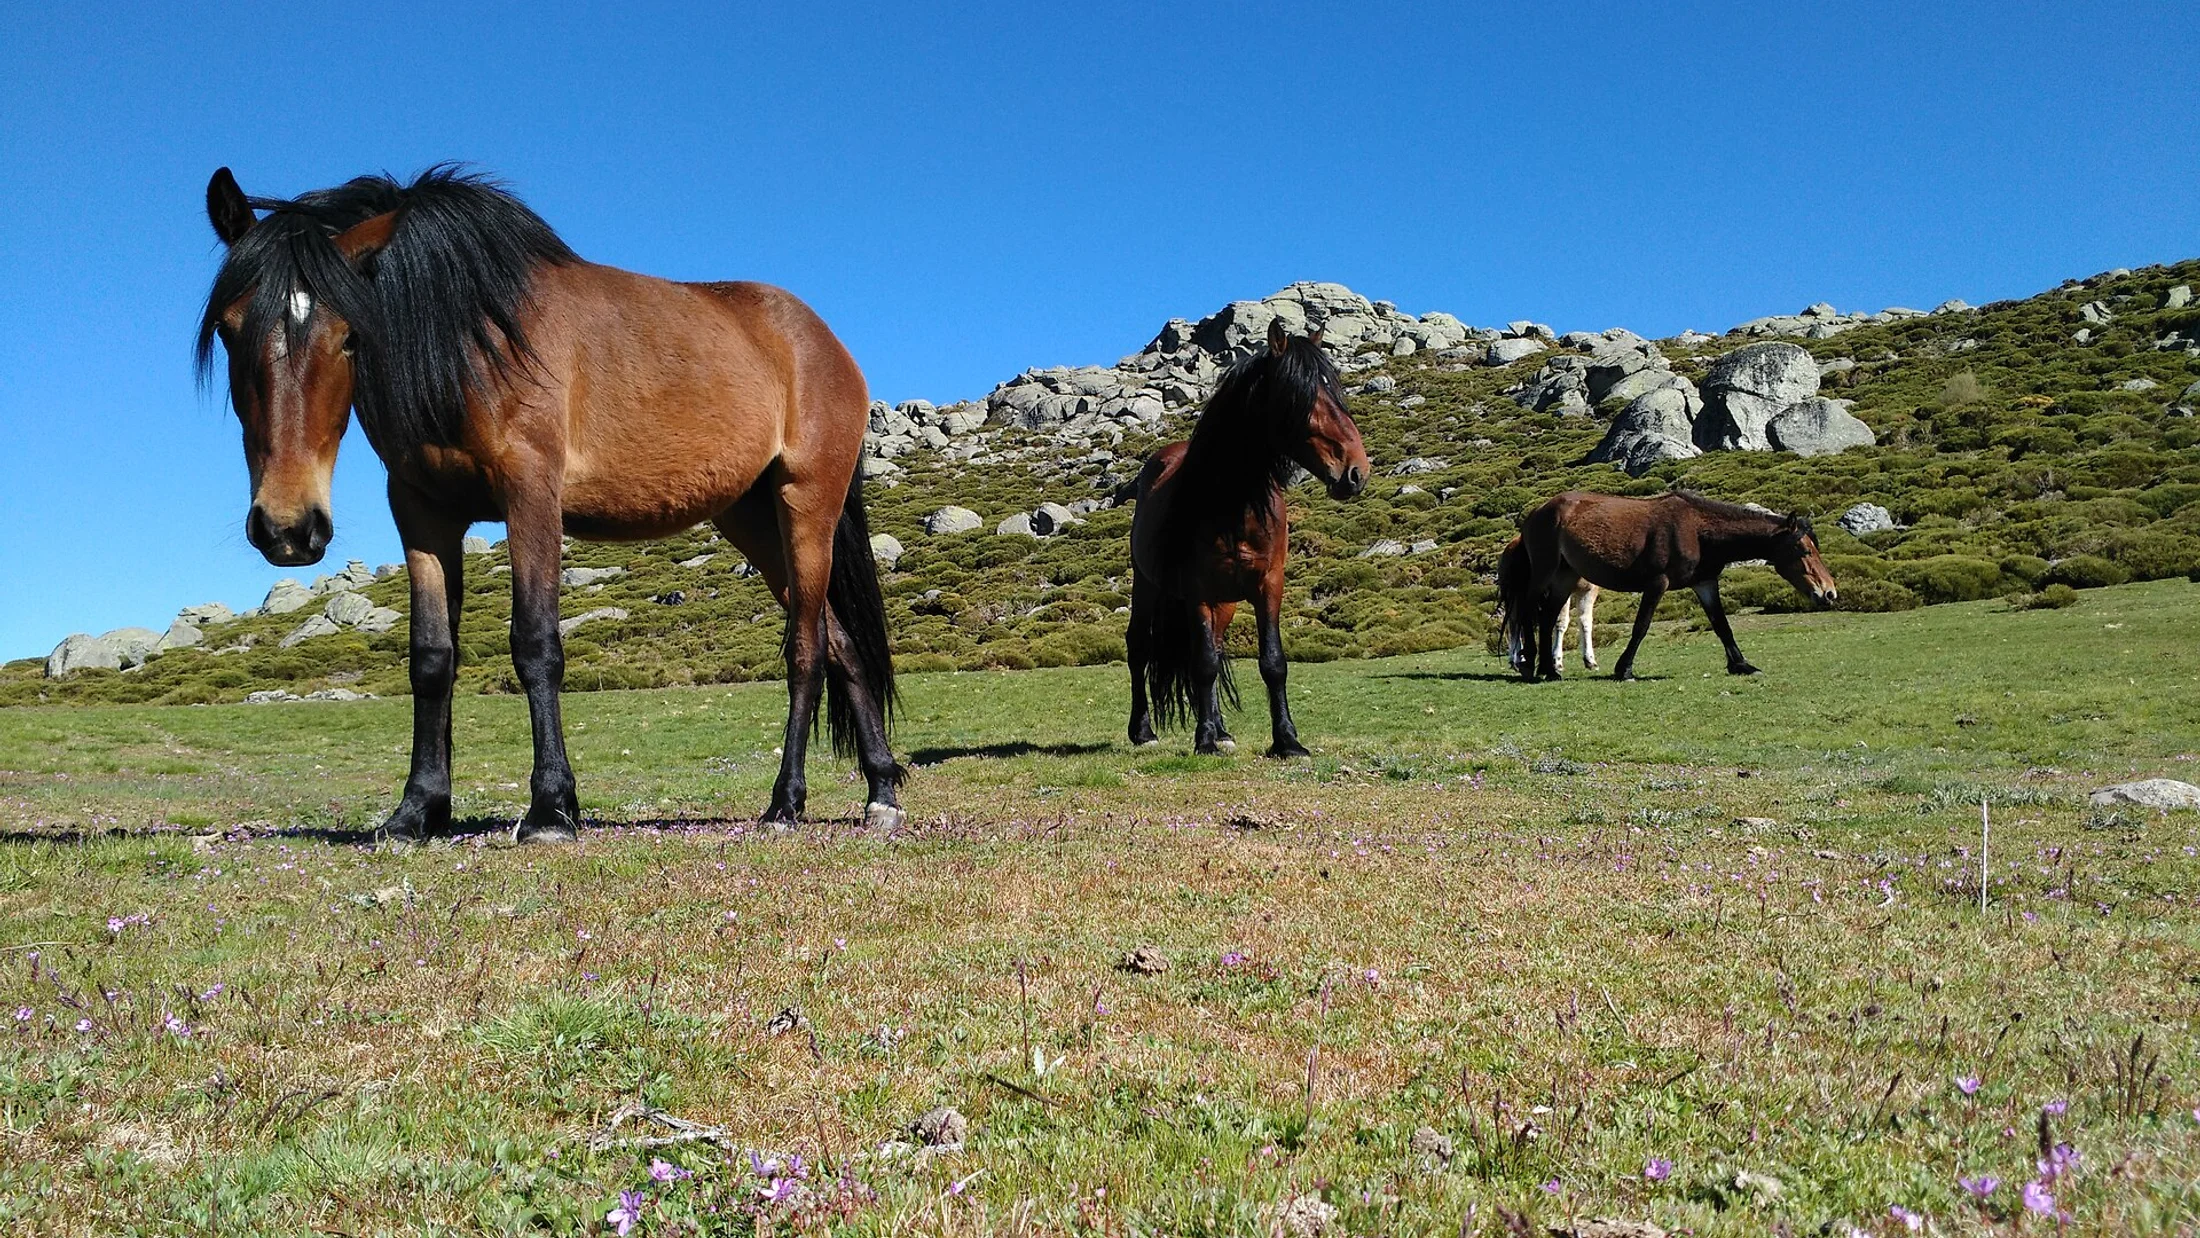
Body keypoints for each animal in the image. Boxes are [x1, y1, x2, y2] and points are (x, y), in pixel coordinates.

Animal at [196, 166, 901, 843]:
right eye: (229, 330)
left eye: (348, 335)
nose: (289, 527)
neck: (465, 338)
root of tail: (823, 341)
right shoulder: (422, 511)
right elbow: (431, 659)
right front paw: (417, 811)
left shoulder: (530, 493)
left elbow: (536, 645)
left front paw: (550, 809)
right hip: (749, 516)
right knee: (841, 643)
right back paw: (881, 792)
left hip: (805, 503)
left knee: (807, 649)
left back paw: (786, 803)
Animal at [1125, 321, 1370, 756]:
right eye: (1299, 396)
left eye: (1336, 392)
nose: (1356, 472)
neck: (1235, 506)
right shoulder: (1198, 591)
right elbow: (1203, 664)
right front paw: (1204, 740)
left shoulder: (1269, 585)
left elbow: (1272, 662)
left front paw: (1287, 741)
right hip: (1148, 584)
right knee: (1141, 648)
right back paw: (1144, 732)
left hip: (1224, 603)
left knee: (1215, 649)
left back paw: (1221, 729)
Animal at [1496, 537, 1598, 674]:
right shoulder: (1560, 591)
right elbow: (1561, 623)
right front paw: (1557, 661)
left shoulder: (1588, 591)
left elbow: (1585, 623)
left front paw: (1590, 660)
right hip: (1513, 596)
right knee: (1514, 623)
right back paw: (1516, 659)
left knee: (1518, 623)